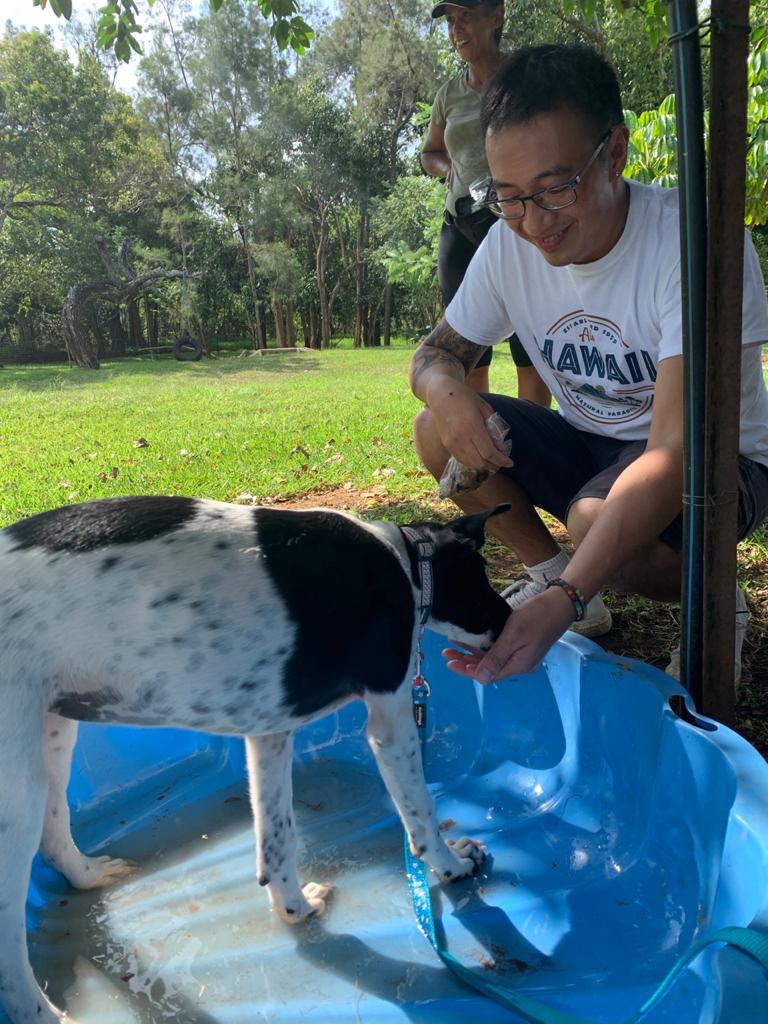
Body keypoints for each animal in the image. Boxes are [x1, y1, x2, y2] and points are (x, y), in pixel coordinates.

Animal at [0, 497, 512, 1024]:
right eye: (480, 576)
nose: (510, 620)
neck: (405, 560)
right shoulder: (389, 722)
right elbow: (422, 815)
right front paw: (452, 865)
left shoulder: (268, 734)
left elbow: (276, 839)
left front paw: (292, 909)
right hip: (16, 797)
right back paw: (42, 1012)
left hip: (54, 733)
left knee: (55, 834)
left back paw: (88, 875)